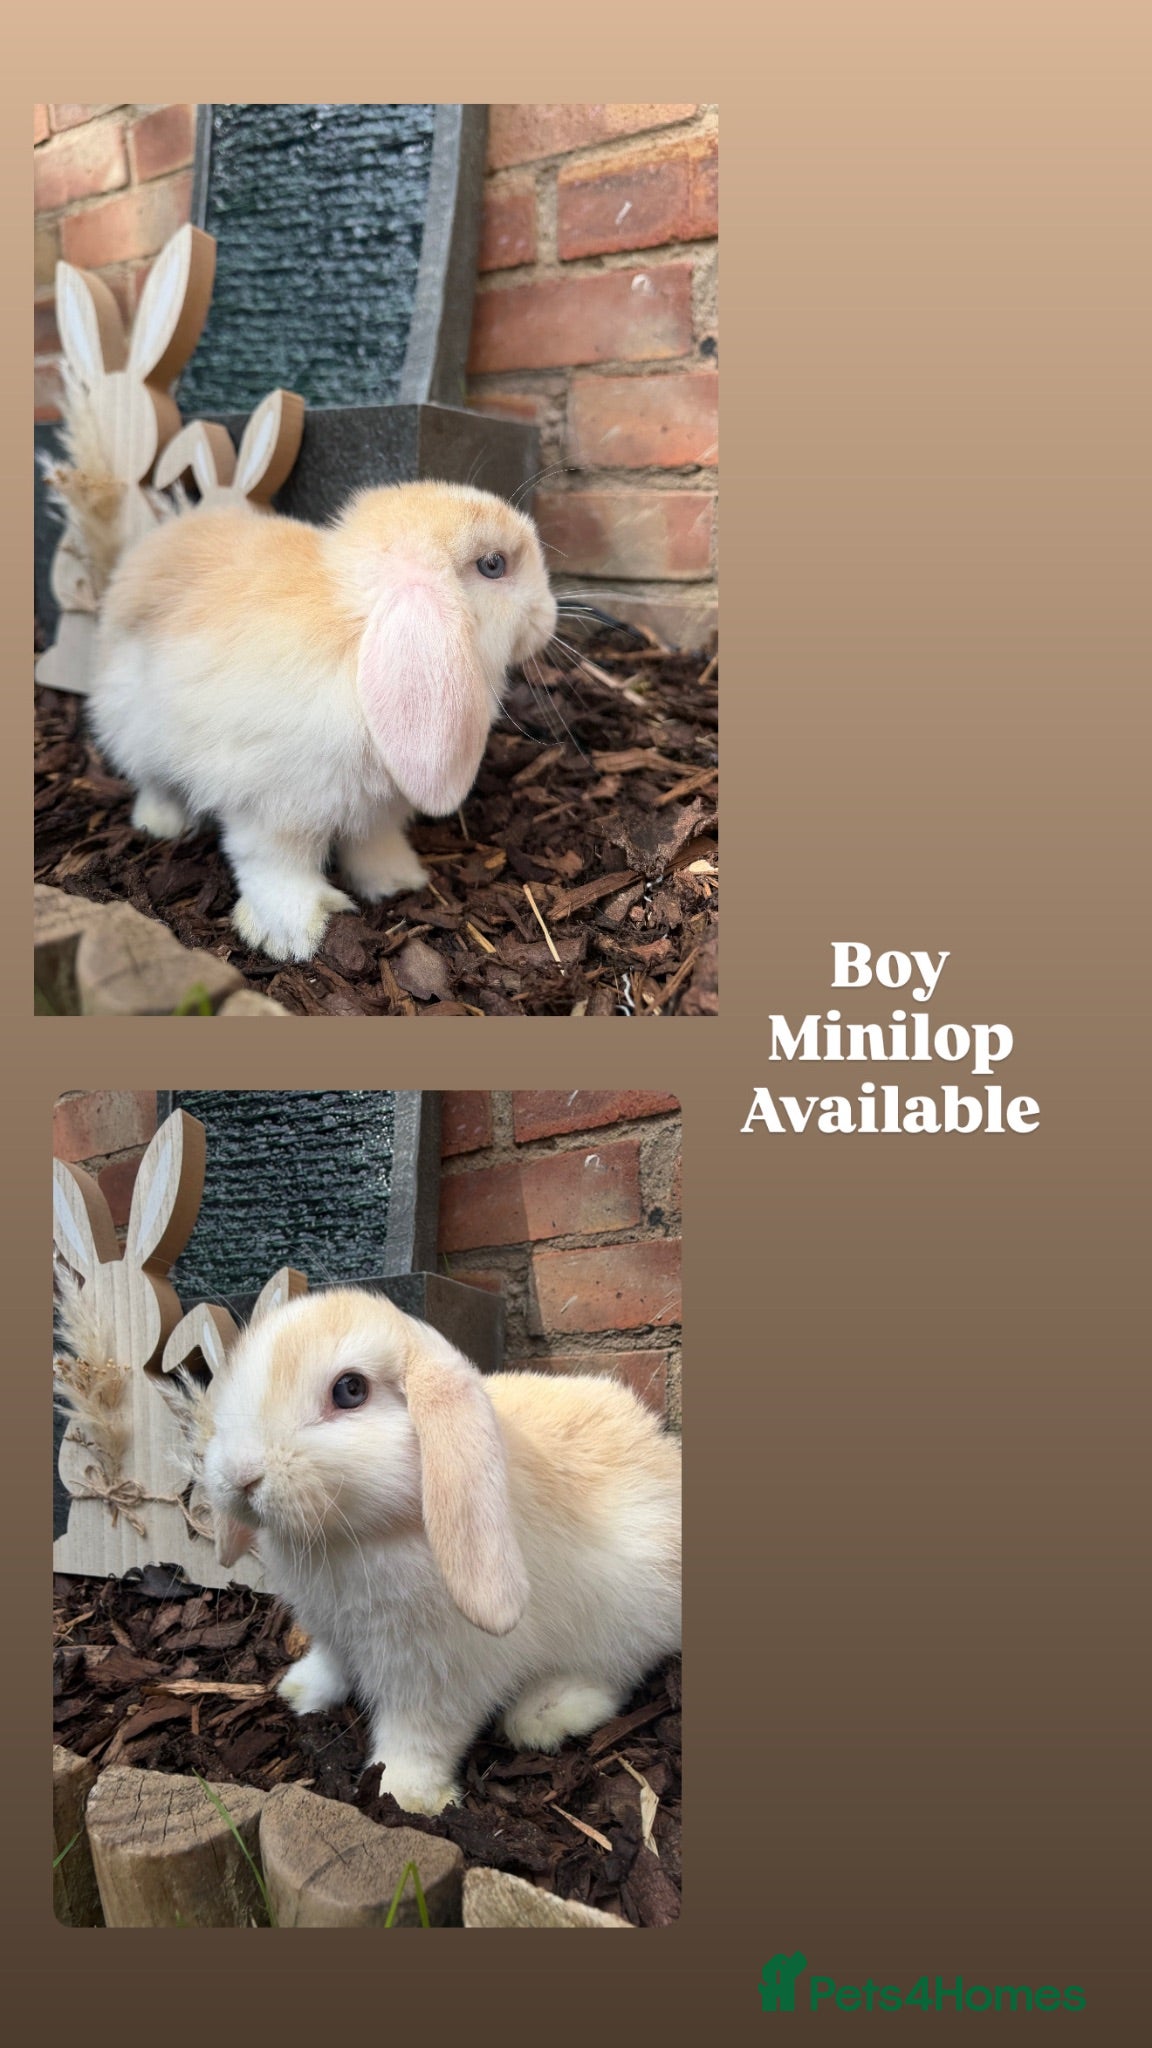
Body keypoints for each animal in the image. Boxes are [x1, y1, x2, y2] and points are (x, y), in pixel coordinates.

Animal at [88, 478, 558, 962]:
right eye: (493, 565)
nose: (550, 614)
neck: (359, 630)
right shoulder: (273, 811)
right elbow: (276, 868)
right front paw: (292, 935)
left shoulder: (374, 809)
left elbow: (373, 843)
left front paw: (396, 882)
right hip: (132, 725)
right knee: (153, 781)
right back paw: (162, 824)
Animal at [201, 1285, 681, 1817]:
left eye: (350, 1390)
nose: (240, 1474)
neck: (357, 1539)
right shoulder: (332, 1633)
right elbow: (331, 1664)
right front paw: (300, 1691)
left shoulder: (438, 1675)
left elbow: (419, 1736)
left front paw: (404, 1795)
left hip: (629, 1616)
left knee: (617, 1673)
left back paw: (546, 1714)